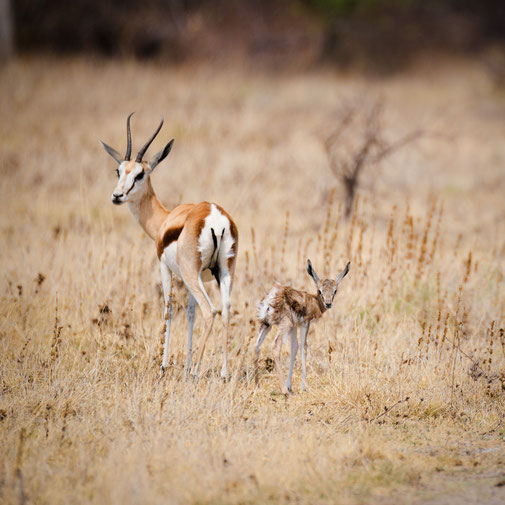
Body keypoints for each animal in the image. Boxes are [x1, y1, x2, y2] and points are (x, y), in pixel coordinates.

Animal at [101, 112, 239, 376]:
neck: (165, 220)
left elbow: (169, 310)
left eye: (140, 174)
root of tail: (214, 216)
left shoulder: (166, 269)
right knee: (226, 310)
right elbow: (190, 314)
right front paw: (185, 365)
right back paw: (224, 373)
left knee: (210, 311)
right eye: (118, 170)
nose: (117, 196)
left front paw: (164, 366)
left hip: (193, 274)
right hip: (224, 272)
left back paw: (196, 372)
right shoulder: (196, 276)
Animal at [254, 260, 348, 394]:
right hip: (283, 326)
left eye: (335, 291)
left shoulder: (294, 327)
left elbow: (294, 348)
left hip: (266, 325)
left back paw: (257, 386)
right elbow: (304, 348)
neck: (313, 301)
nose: (328, 303)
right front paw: (304, 387)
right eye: (320, 290)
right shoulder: (304, 324)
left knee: (256, 346)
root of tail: (270, 298)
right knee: (276, 347)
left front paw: (290, 385)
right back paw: (284, 392)